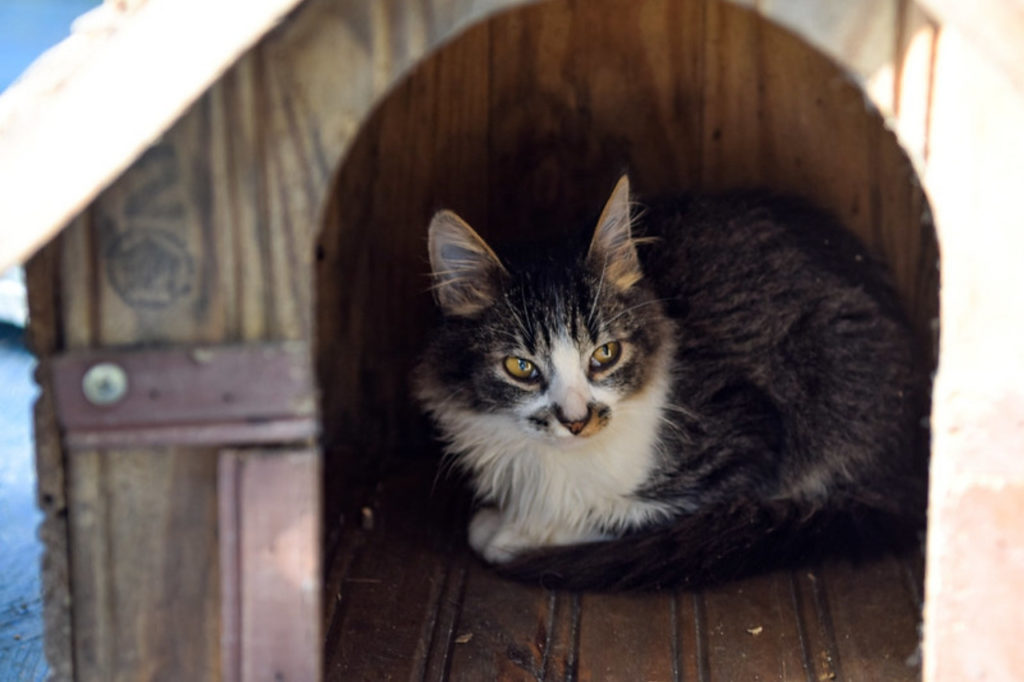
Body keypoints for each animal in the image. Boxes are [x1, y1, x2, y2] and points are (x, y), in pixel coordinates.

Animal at [411, 175, 925, 589]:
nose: (576, 421)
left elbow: (628, 514)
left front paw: (513, 533)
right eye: (521, 367)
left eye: (605, 355)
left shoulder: (746, 440)